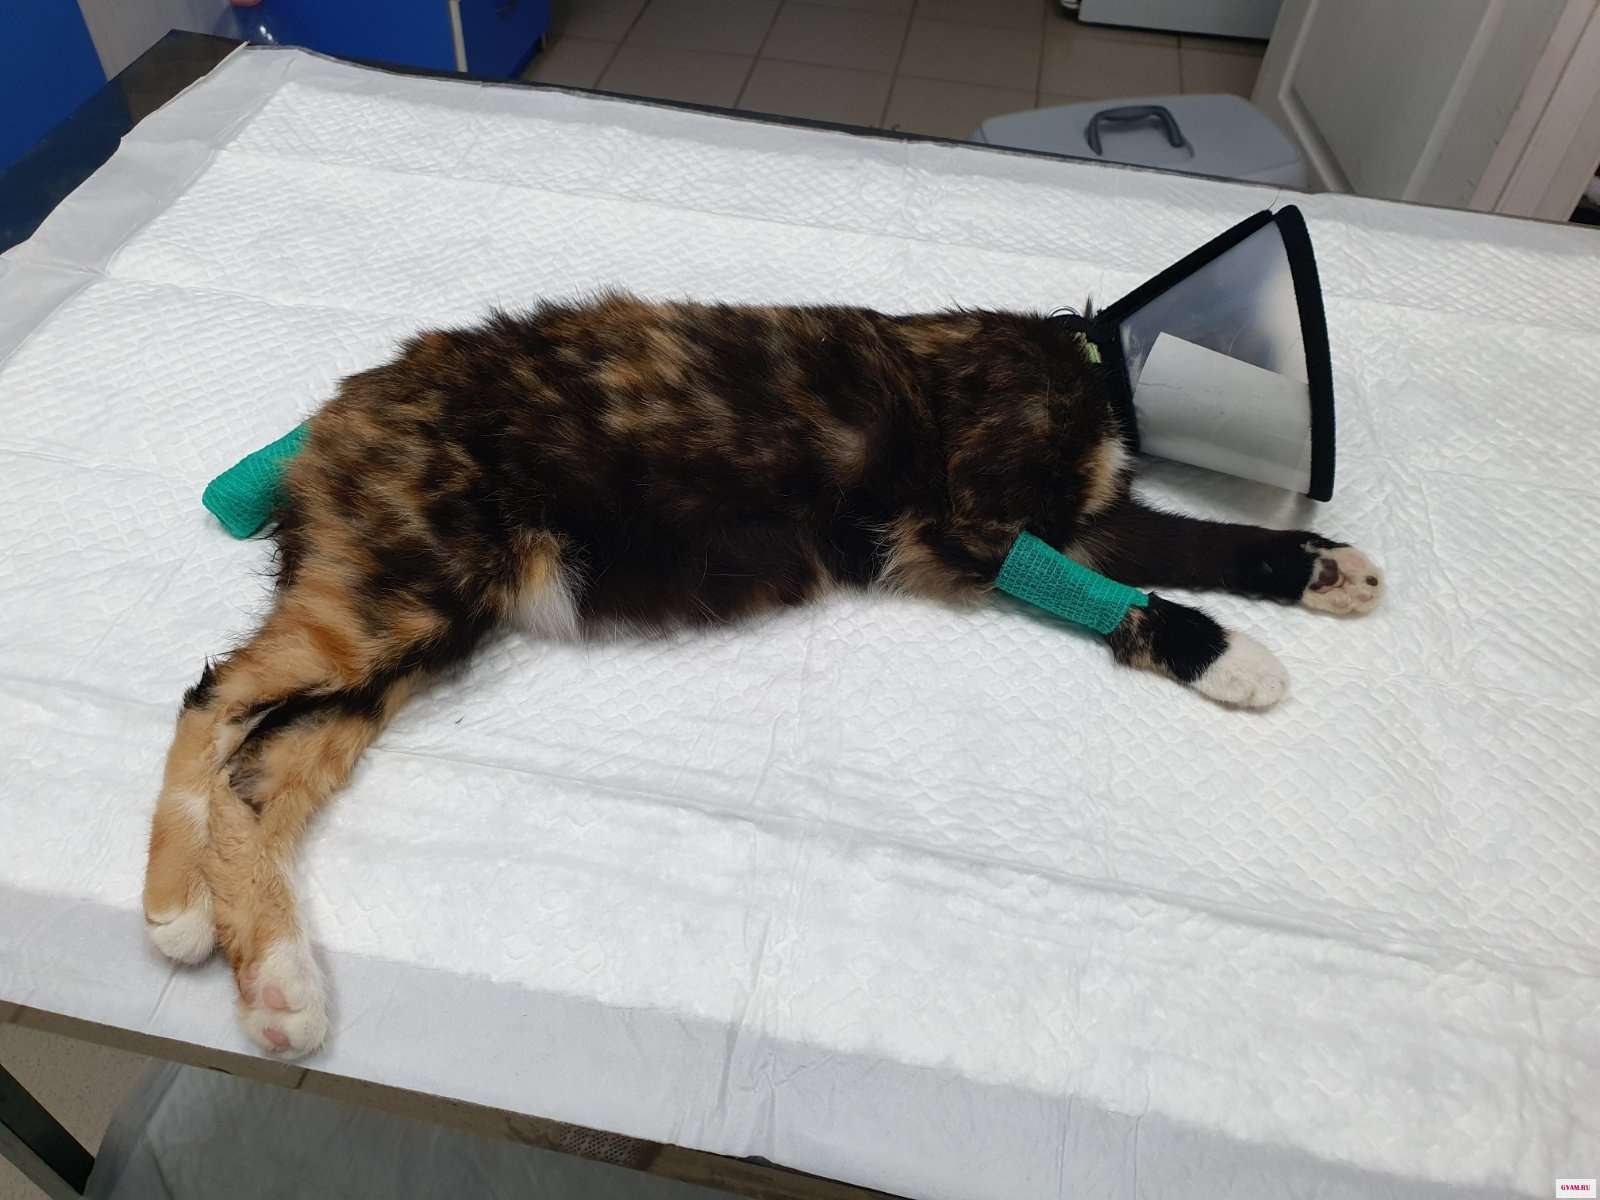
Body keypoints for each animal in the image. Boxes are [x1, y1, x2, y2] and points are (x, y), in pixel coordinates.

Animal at [142, 293, 1383, 1058]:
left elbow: (1201, 542)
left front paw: (1318, 570)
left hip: (413, 631)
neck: (1083, 364)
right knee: (214, 696)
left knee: (266, 768)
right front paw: (1236, 656)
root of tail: (335, 409)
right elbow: (1129, 593)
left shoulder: (1087, 520)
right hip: (397, 592)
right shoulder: (982, 525)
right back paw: (174, 911)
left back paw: (277, 979)